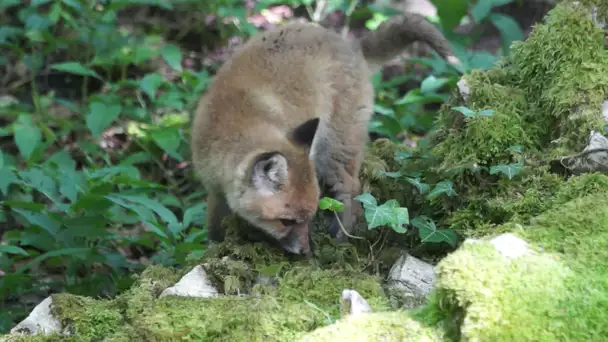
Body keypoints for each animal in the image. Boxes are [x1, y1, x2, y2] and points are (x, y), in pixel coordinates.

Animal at [192, 12, 458, 255]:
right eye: (286, 221)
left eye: (309, 218)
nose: (306, 252)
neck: (233, 123)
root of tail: (351, 45)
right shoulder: (214, 188)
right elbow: (214, 228)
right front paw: (214, 248)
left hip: (332, 151)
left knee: (352, 188)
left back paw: (342, 236)